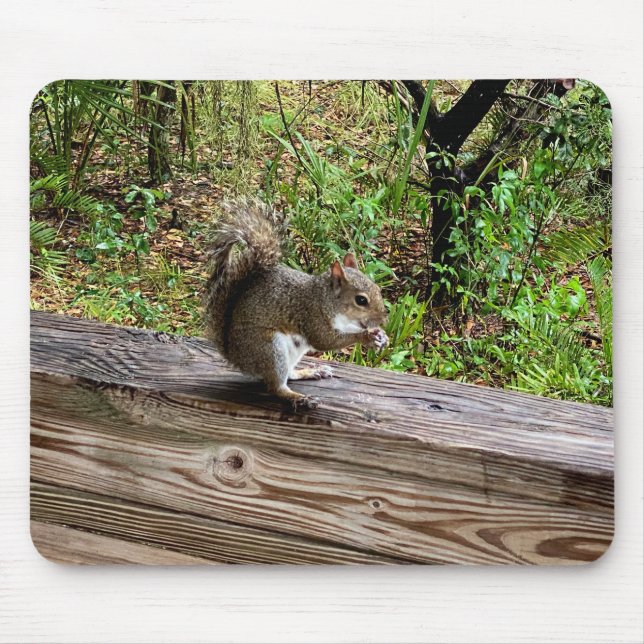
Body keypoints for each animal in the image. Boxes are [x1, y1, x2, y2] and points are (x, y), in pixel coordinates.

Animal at [204, 200, 389, 409]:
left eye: (377, 288)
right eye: (361, 300)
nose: (383, 319)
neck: (325, 299)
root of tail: (235, 356)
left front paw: (381, 336)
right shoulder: (311, 316)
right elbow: (325, 340)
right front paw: (366, 337)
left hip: (291, 353)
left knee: (289, 375)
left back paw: (310, 372)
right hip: (269, 349)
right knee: (276, 387)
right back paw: (298, 398)